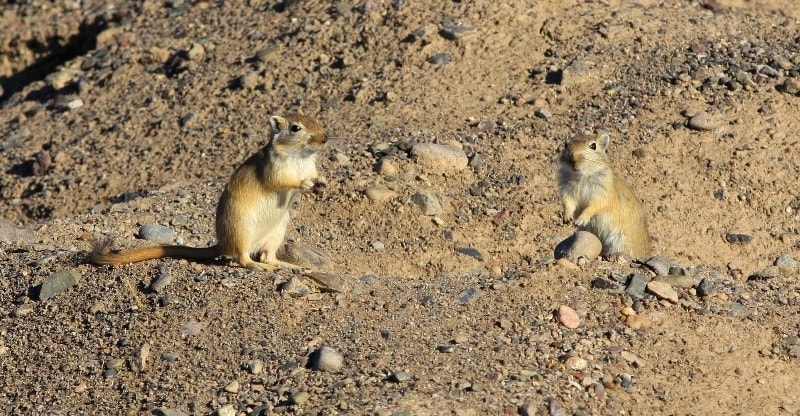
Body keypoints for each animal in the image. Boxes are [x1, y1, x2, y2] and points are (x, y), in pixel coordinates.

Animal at [88, 113, 324, 270]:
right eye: (295, 128)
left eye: (315, 119)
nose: (324, 139)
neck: (298, 156)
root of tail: (221, 245)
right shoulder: (275, 172)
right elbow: (286, 182)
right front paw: (306, 185)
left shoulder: (310, 168)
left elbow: (314, 177)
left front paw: (321, 185)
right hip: (243, 232)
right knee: (244, 259)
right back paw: (261, 268)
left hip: (277, 233)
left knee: (267, 256)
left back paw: (292, 266)